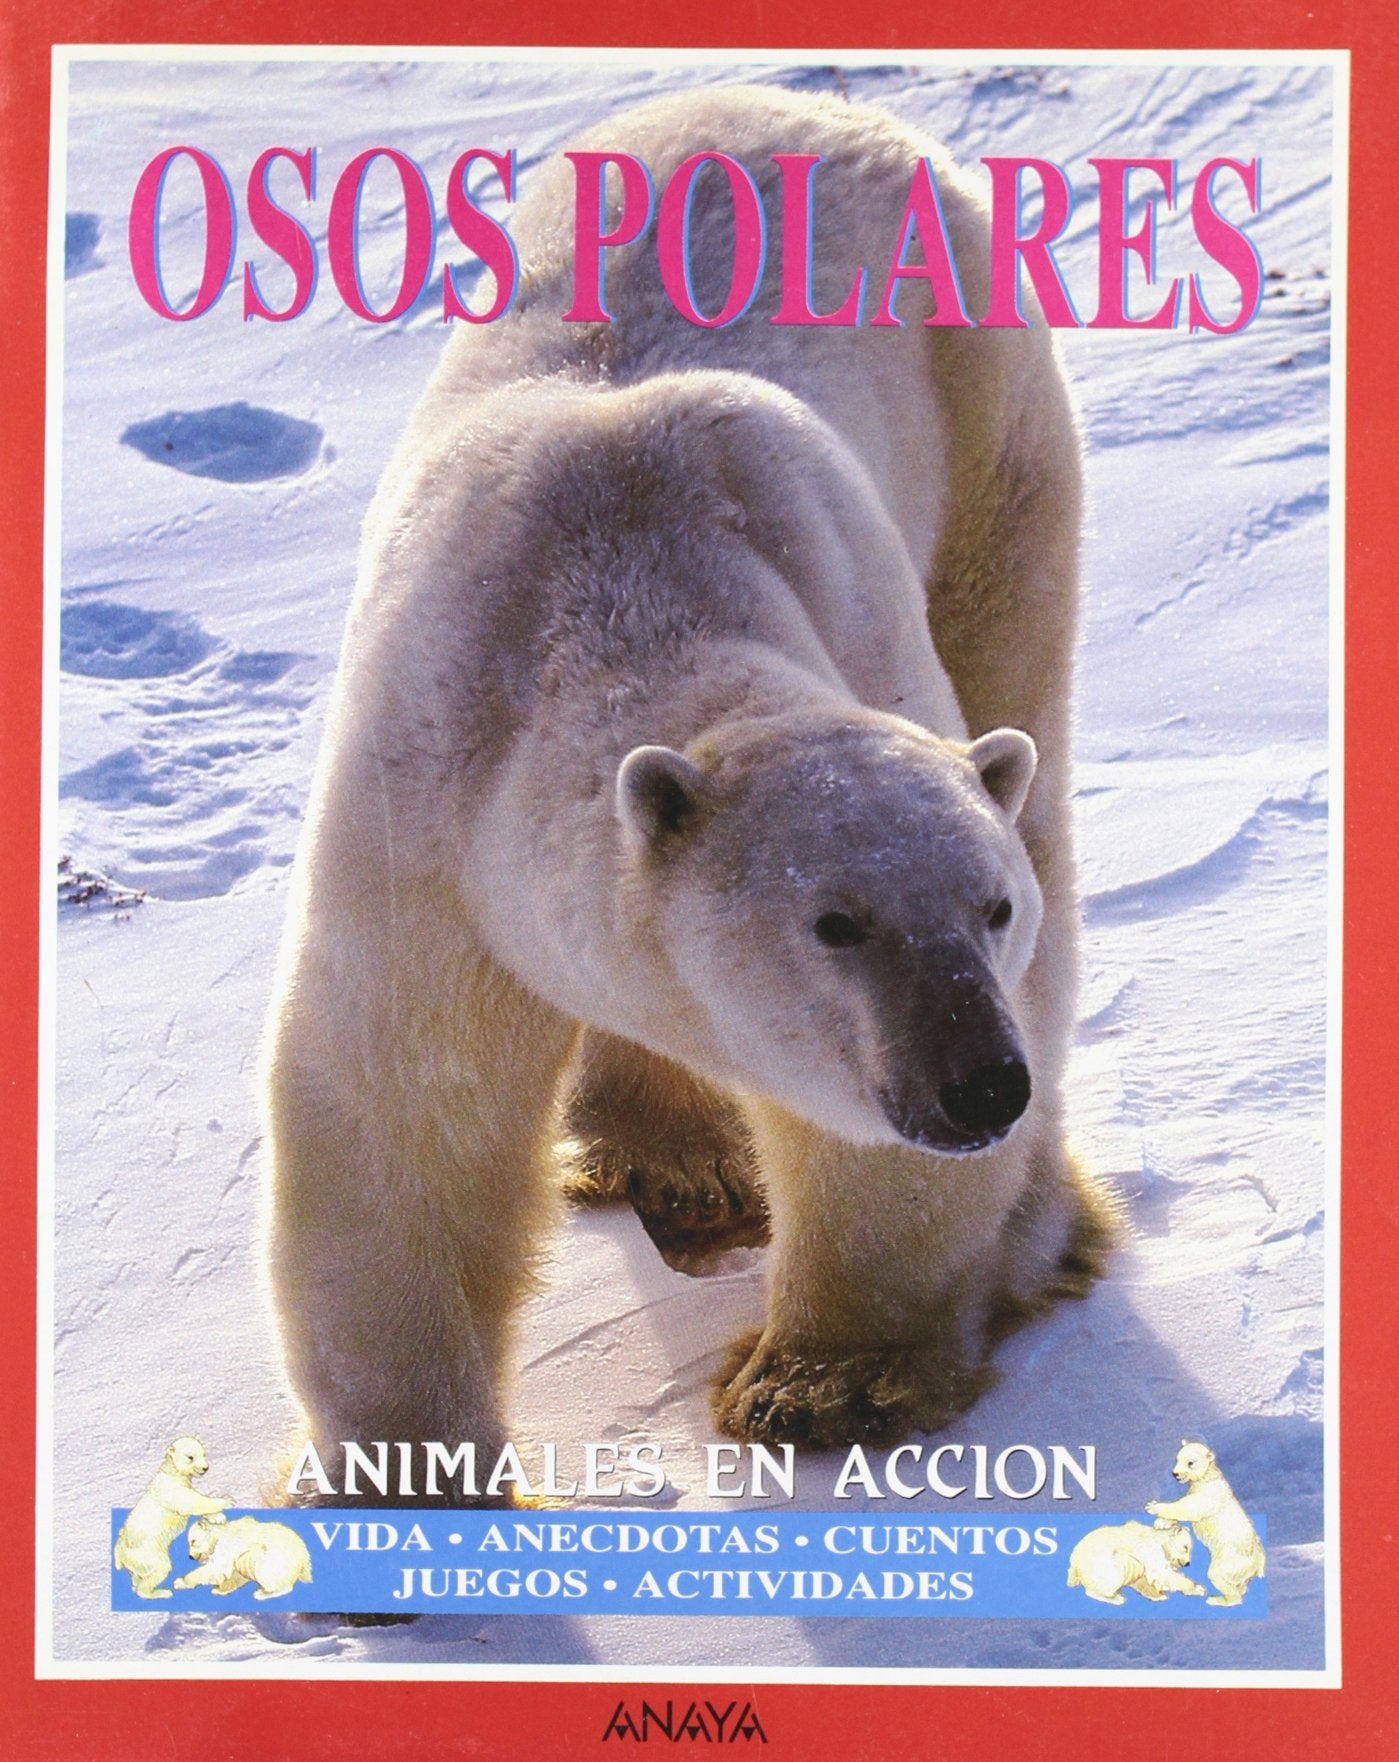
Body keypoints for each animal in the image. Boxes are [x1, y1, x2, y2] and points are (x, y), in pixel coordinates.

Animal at [113, 1437, 229, 1598]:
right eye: (190, 1457)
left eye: (203, 1454)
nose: (205, 1468)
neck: (171, 1472)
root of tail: (119, 1553)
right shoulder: (171, 1489)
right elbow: (191, 1502)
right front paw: (226, 1501)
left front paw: (218, 1517)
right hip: (148, 1553)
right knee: (160, 1568)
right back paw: (161, 1592)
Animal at [174, 1513, 314, 1599]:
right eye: (189, 1542)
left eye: (193, 1541)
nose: (191, 1556)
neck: (219, 1536)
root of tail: (305, 1558)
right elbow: (234, 1572)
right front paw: (220, 1589)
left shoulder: (226, 1546)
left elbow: (215, 1568)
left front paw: (180, 1582)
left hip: (276, 1559)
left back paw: (262, 1592)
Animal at [262, 84, 1111, 1486]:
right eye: (835, 923)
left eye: (990, 911)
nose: (980, 1085)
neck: (615, 578)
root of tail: (812, 98)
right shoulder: (426, 803)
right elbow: (401, 1097)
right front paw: (404, 1478)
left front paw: (824, 1383)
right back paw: (662, 1157)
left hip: (989, 419)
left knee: (1018, 695)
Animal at [1065, 1520, 1205, 1606]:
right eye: (1186, 1547)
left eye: (1190, 1549)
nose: (1187, 1563)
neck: (1159, 1539)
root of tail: (1074, 1564)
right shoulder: (1150, 1549)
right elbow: (1161, 1573)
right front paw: (1197, 1588)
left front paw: (1158, 1595)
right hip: (1101, 1564)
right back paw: (1116, 1597)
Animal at [1146, 1441, 1266, 1606]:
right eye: (1177, 1458)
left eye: (1190, 1462)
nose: (1175, 1474)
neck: (1209, 1477)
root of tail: (1259, 1562)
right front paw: (1161, 1523)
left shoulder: (1209, 1494)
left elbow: (1189, 1508)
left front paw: (1153, 1506)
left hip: (1230, 1560)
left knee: (1217, 1575)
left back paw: (1217, 1599)